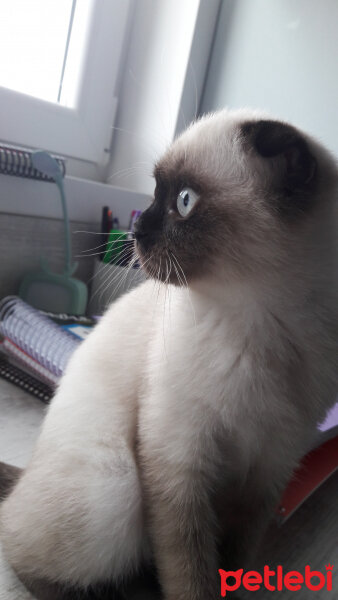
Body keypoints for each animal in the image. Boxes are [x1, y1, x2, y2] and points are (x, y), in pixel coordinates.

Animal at [0, 108, 338, 600]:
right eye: (157, 194)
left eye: (184, 201)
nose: (135, 231)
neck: (263, 327)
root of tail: (25, 473)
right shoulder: (179, 461)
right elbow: (189, 571)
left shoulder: (269, 469)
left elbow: (236, 562)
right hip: (114, 484)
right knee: (18, 542)